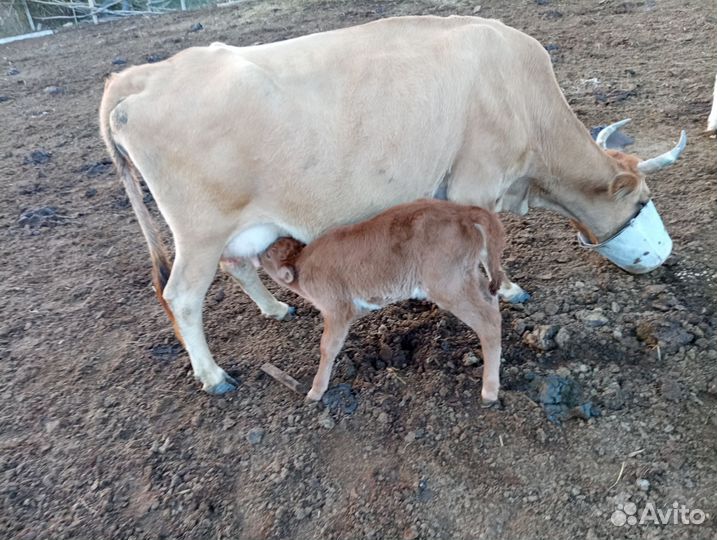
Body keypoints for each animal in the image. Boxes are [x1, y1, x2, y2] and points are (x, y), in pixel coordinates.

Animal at [255, 200, 506, 404]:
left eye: (268, 254)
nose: (257, 254)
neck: (302, 262)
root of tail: (461, 211)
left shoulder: (336, 309)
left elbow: (328, 347)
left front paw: (316, 391)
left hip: (447, 285)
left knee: (488, 323)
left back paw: (489, 392)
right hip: (467, 276)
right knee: (491, 302)